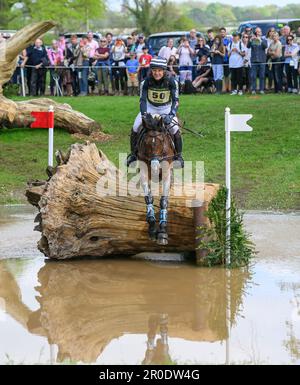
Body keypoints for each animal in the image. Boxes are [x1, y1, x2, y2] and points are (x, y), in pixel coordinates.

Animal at [135, 113, 177, 246]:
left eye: (162, 141)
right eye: (146, 142)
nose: (155, 167)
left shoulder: (166, 173)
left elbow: (164, 201)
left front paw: (162, 231)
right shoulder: (144, 172)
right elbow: (149, 198)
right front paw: (152, 227)